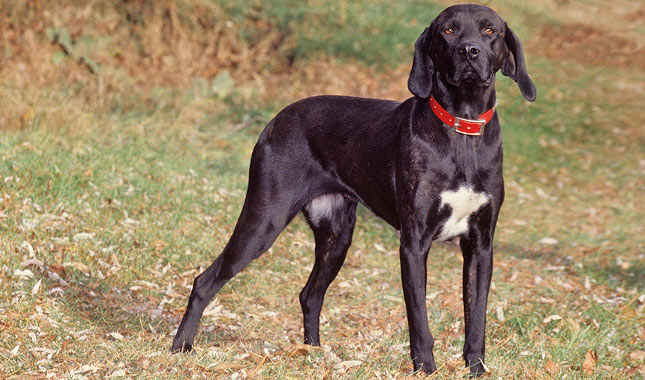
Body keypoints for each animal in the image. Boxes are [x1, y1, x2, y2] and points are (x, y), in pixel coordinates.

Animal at [172, 3, 532, 378]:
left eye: (490, 31)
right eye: (448, 30)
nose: (469, 51)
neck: (462, 128)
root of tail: (274, 121)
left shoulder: (480, 245)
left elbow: (476, 319)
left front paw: (476, 368)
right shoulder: (414, 243)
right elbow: (419, 321)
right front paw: (426, 369)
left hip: (337, 235)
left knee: (310, 294)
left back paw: (313, 353)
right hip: (263, 221)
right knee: (205, 281)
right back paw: (181, 346)